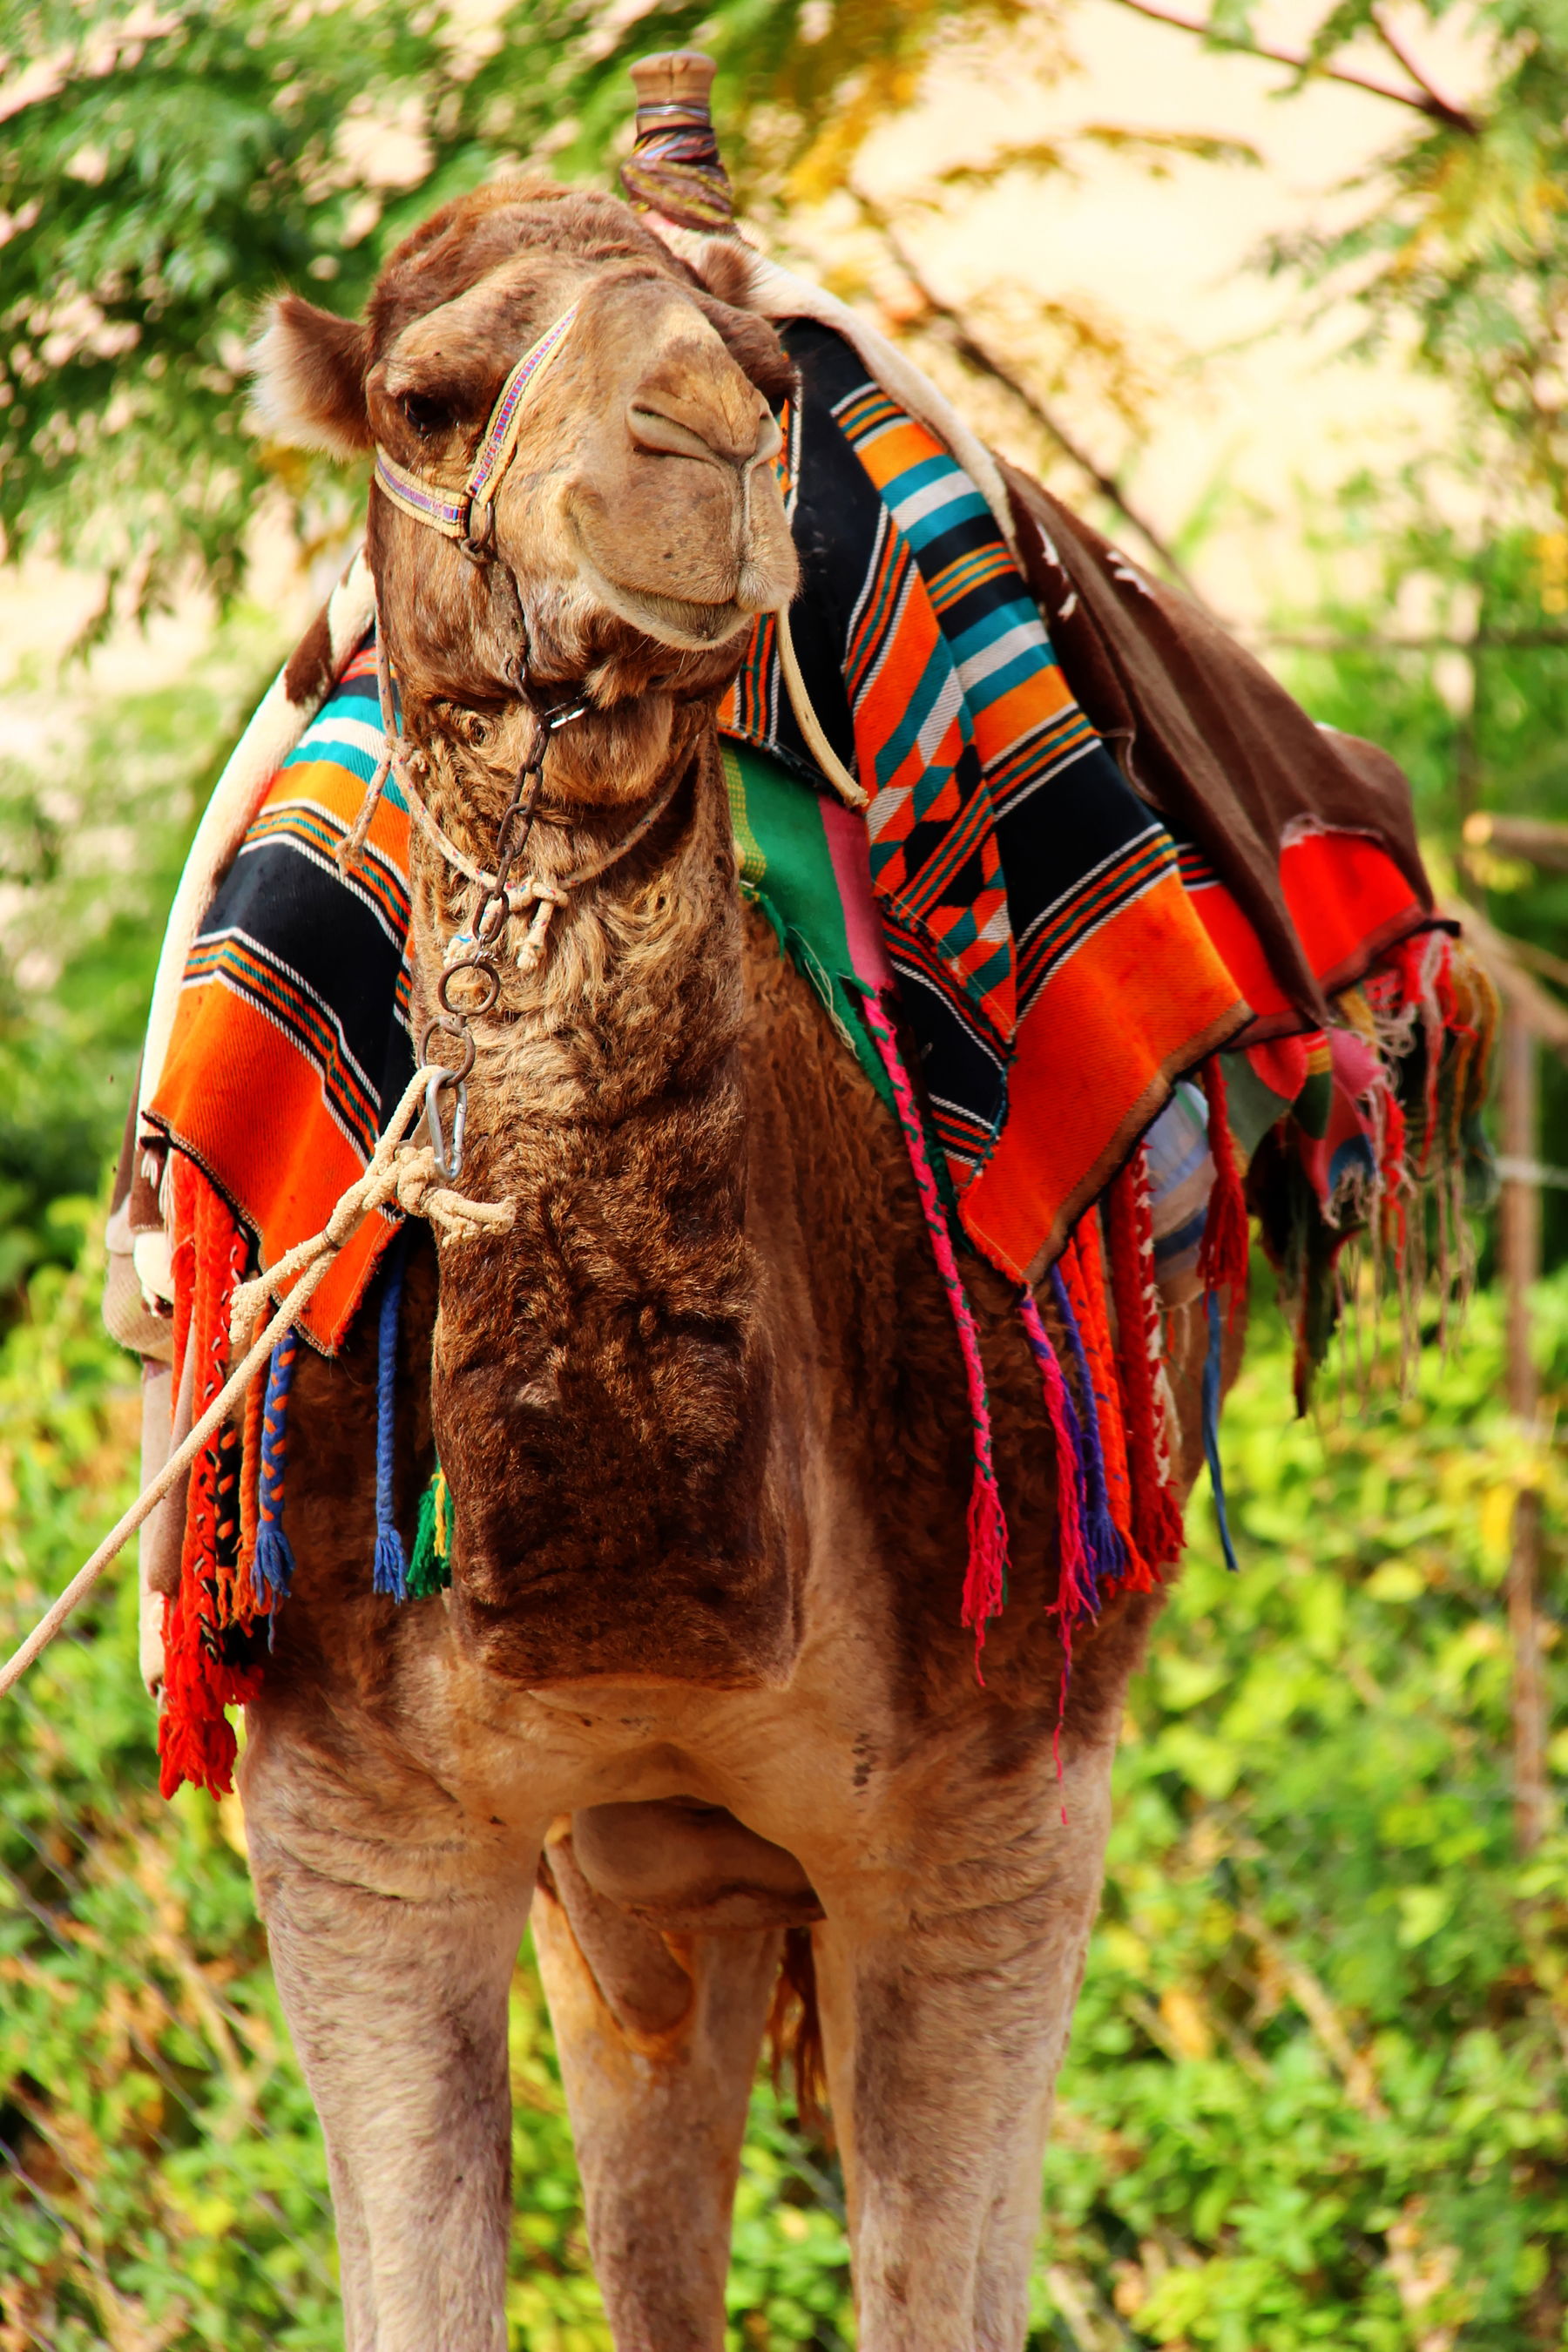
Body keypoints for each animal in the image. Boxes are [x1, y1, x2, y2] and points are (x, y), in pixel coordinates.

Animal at [211, 176, 1237, 2352]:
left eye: (762, 377)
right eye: (425, 399)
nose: (675, 441)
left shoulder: (997, 1821)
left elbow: (944, 2285)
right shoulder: (351, 1823)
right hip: (631, 1880)